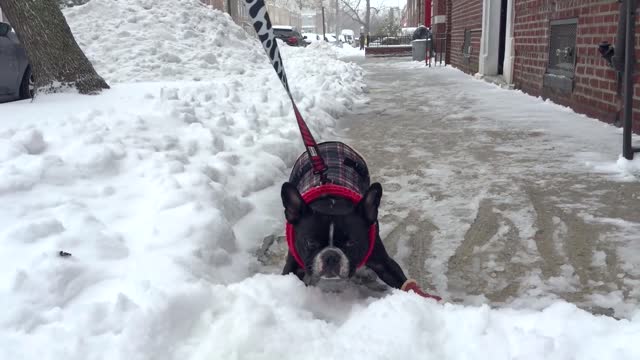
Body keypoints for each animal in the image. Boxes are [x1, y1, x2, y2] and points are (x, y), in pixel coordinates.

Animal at [280, 142, 440, 300]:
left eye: (351, 243)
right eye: (310, 242)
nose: (331, 256)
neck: (331, 201)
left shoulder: (383, 263)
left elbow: (402, 282)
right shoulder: (293, 265)